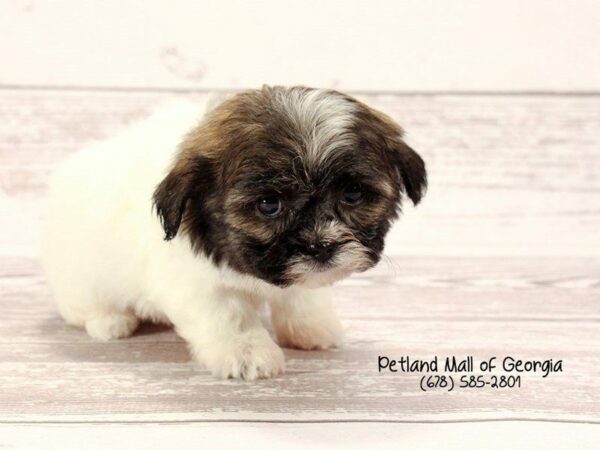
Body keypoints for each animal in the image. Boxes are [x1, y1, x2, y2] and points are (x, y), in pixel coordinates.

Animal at [42, 85, 426, 380]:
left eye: (353, 193)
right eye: (269, 204)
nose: (322, 247)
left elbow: (302, 296)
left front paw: (311, 326)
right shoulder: (195, 283)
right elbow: (230, 314)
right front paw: (248, 353)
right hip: (80, 277)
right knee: (82, 306)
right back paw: (110, 322)